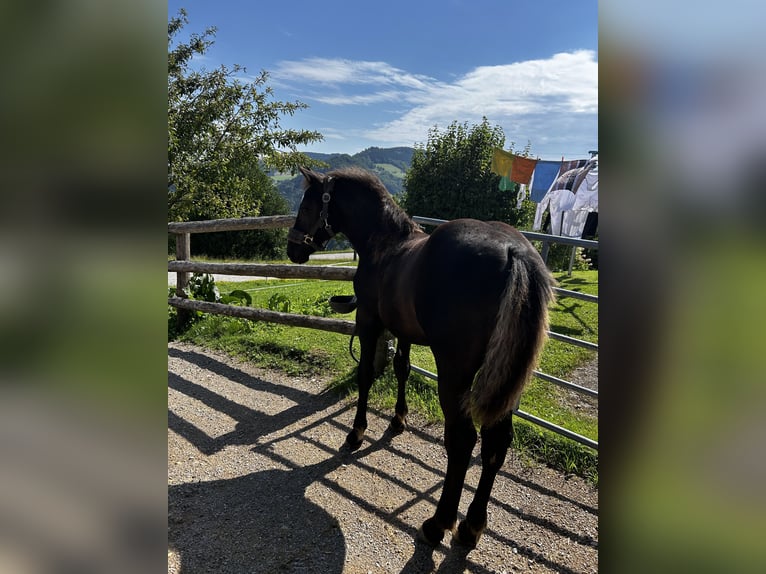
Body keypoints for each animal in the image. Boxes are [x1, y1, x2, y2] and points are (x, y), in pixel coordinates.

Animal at [287, 166, 556, 549]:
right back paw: (472, 525)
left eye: (308, 205)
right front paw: (398, 421)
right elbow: (402, 369)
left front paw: (356, 433)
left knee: (462, 440)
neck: (385, 245)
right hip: (504, 381)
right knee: (496, 443)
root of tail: (513, 252)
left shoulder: (368, 321)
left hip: (456, 372)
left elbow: (366, 375)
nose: (293, 248)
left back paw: (438, 523)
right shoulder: (403, 331)